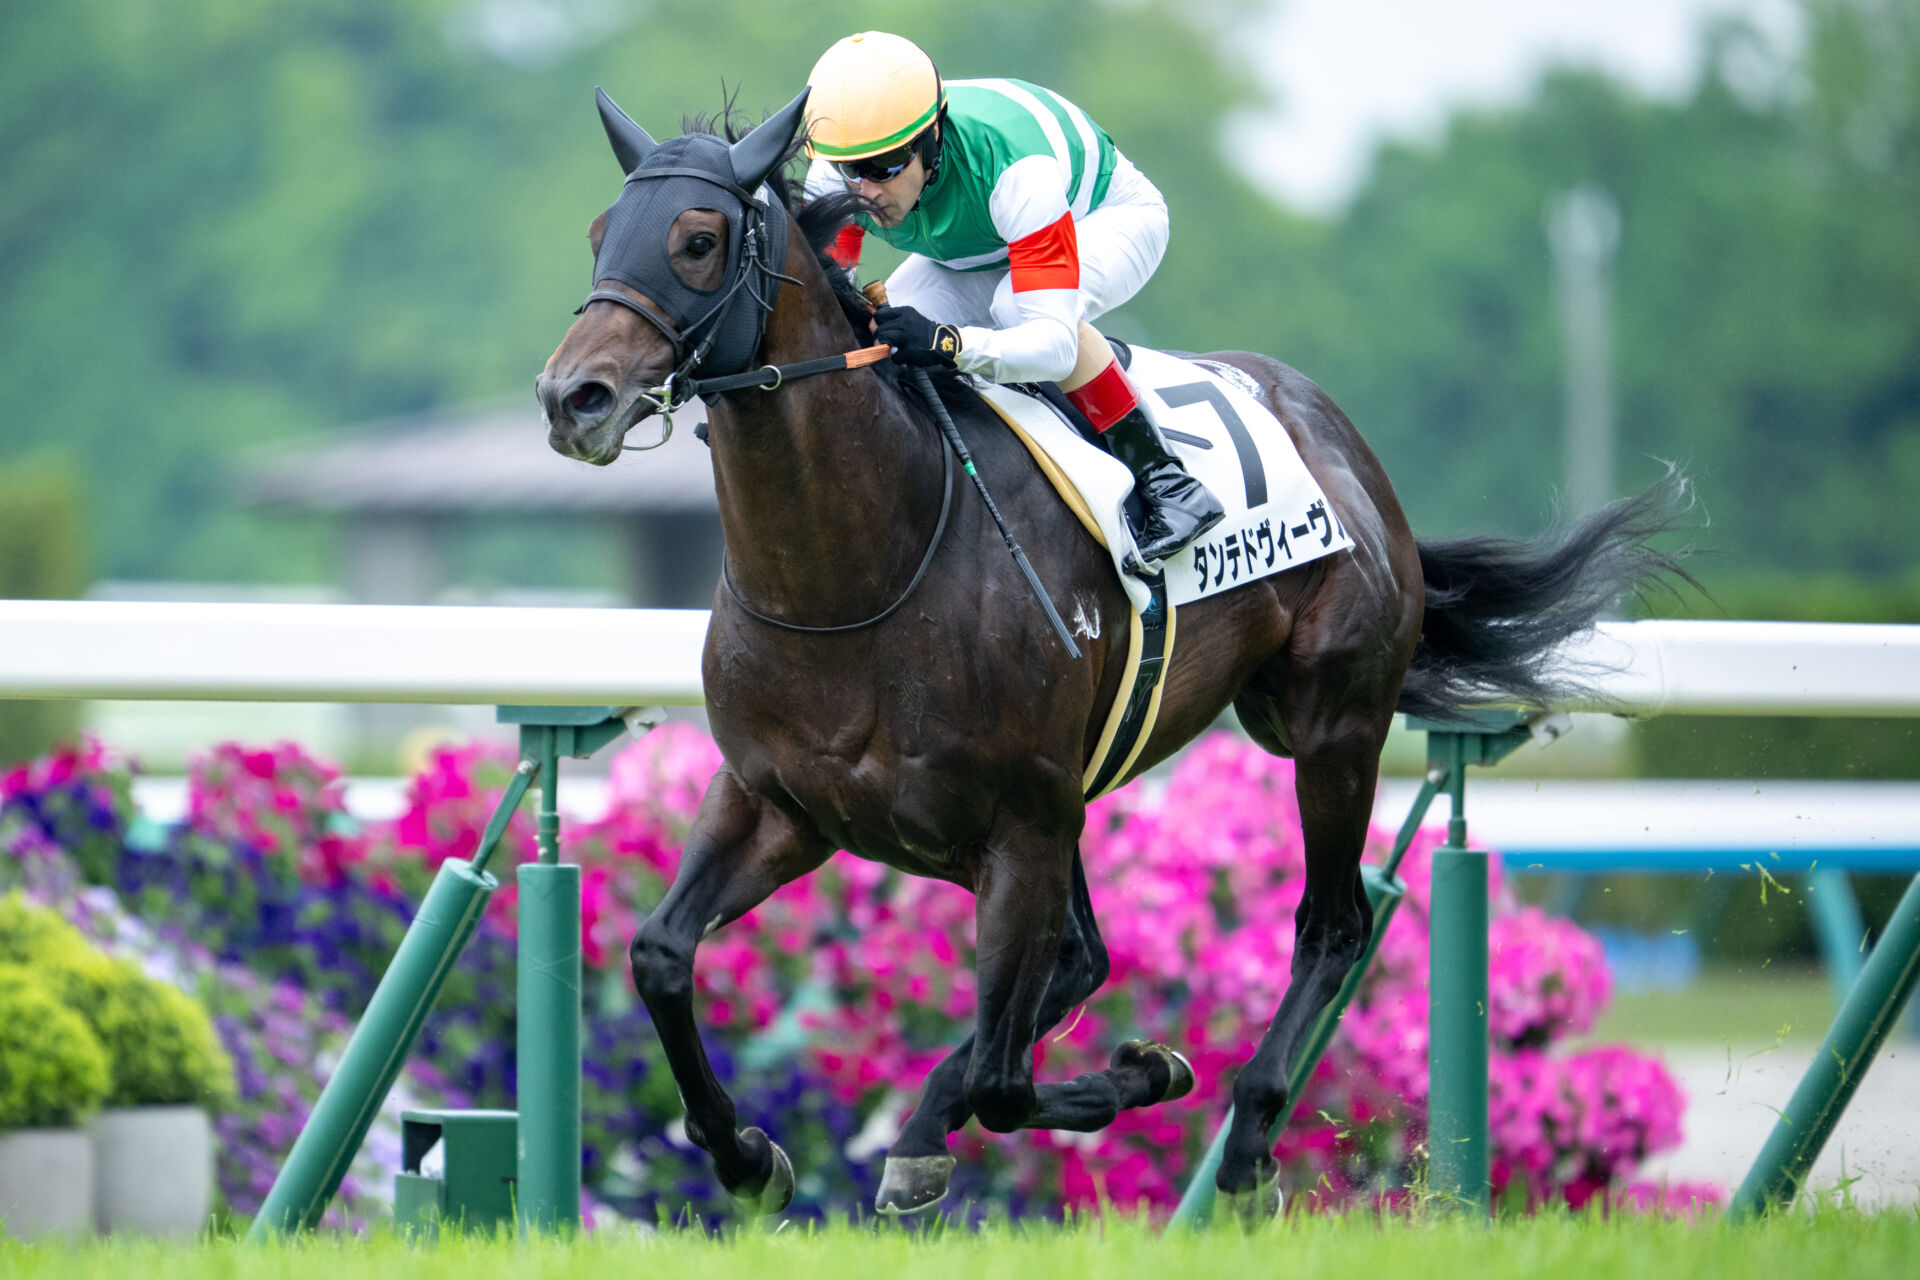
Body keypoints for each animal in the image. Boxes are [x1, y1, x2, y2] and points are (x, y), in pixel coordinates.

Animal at [535, 89, 1686, 1219]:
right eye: (598, 234)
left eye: (696, 239)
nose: (571, 397)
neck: (862, 574)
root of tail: (1343, 441)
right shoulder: (782, 802)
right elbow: (660, 955)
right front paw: (746, 1155)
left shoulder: (1022, 825)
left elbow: (1007, 1081)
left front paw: (1146, 1070)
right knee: (1082, 965)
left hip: (1330, 724)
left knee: (1329, 925)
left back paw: (1248, 1135)